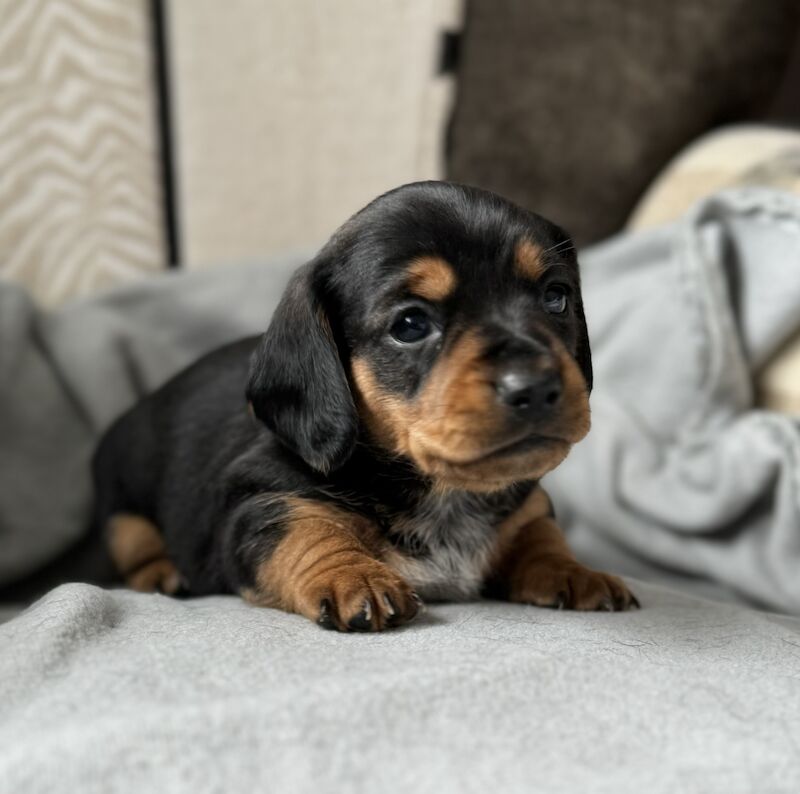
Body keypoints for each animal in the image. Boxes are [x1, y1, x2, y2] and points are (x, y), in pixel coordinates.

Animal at [90, 181, 636, 632]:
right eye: (411, 325)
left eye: (555, 298)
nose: (536, 387)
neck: (443, 490)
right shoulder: (256, 502)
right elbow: (306, 528)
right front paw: (353, 575)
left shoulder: (528, 504)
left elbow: (540, 533)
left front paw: (575, 570)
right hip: (121, 511)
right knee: (134, 542)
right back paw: (161, 573)